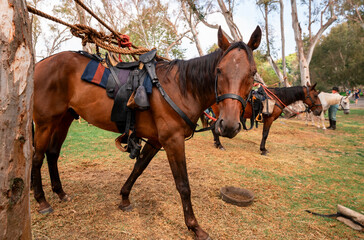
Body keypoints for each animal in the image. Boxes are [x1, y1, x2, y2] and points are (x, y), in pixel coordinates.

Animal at [32, 27, 262, 239]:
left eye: (252, 73)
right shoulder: (173, 141)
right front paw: (194, 227)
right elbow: (183, 185)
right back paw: (41, 200)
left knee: (52, 154)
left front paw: (125, 198)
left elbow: (138, 168)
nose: (229, 125)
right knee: (37, 157)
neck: (182, 88)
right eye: (219, 70)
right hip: (45, 123)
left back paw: (60, 192)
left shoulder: (156, 141)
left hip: (64, 119)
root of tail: (39, 64)